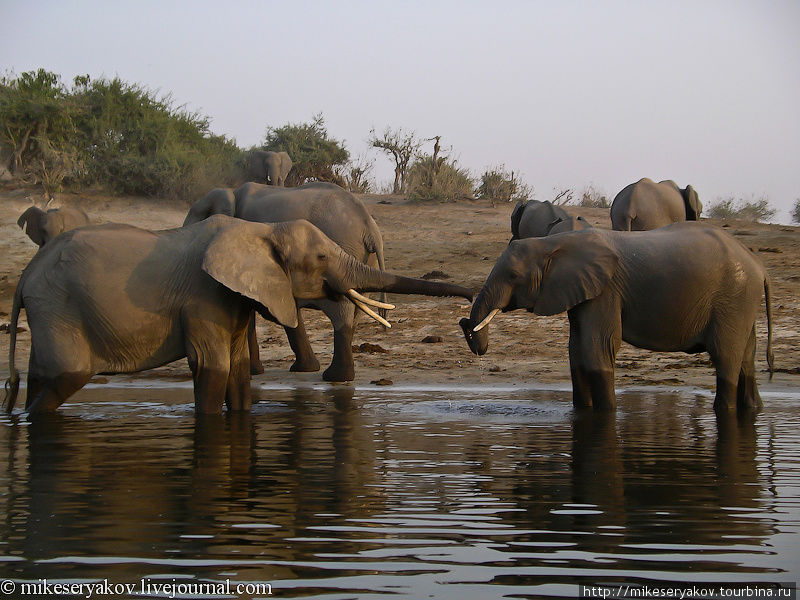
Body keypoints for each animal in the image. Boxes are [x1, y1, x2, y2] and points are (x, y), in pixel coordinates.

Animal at [3, 216, 472, 418]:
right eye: (321, 258)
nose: (468, 319)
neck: (261, 229)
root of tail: (24, 276)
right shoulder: (203, 296)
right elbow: (212, 366)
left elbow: (239, 369)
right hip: (59, 306)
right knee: (66, 376)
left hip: (50, 310)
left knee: (41, 375)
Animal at [185, 180, 390, 382]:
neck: (230, 192)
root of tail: (371, 228)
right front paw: (304, 369)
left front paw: (253, 372)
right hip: (361, 260)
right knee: (356, 311)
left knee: (342, 312)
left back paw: (335, 377)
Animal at [462, 221, 776, 412]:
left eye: (513, 276)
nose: (466, 324)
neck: (553, 242)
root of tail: (760, 266)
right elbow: (576, 352)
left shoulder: (606, 291)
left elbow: (596, 349)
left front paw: (607, 413)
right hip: (741, 302)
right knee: (747, 357)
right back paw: (754, 409)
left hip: (734, 297)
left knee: (726, 356)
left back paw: (725, 409)